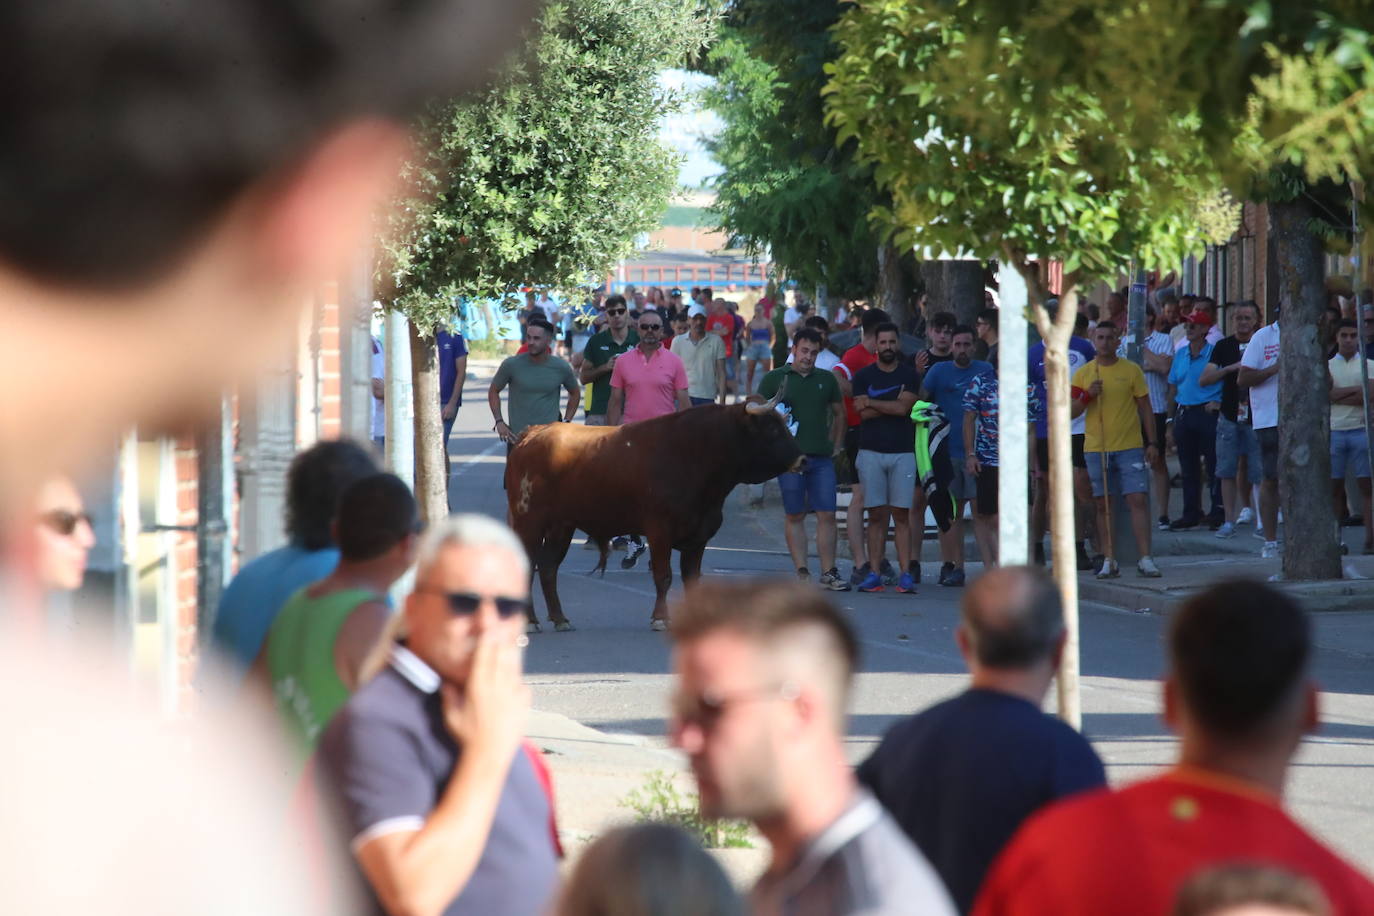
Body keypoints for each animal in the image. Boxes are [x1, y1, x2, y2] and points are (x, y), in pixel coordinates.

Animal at [511, 398, 802, 634]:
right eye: (772, 428)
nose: (803, 460)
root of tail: (534, 432)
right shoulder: (660, 530)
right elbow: (664, 576)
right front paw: (661, 618)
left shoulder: (699, 536)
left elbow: (692, 579)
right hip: (529, 521)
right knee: (529, 565)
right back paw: (530, 622)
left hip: (561, 525)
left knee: (548, 566)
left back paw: (560, 619)